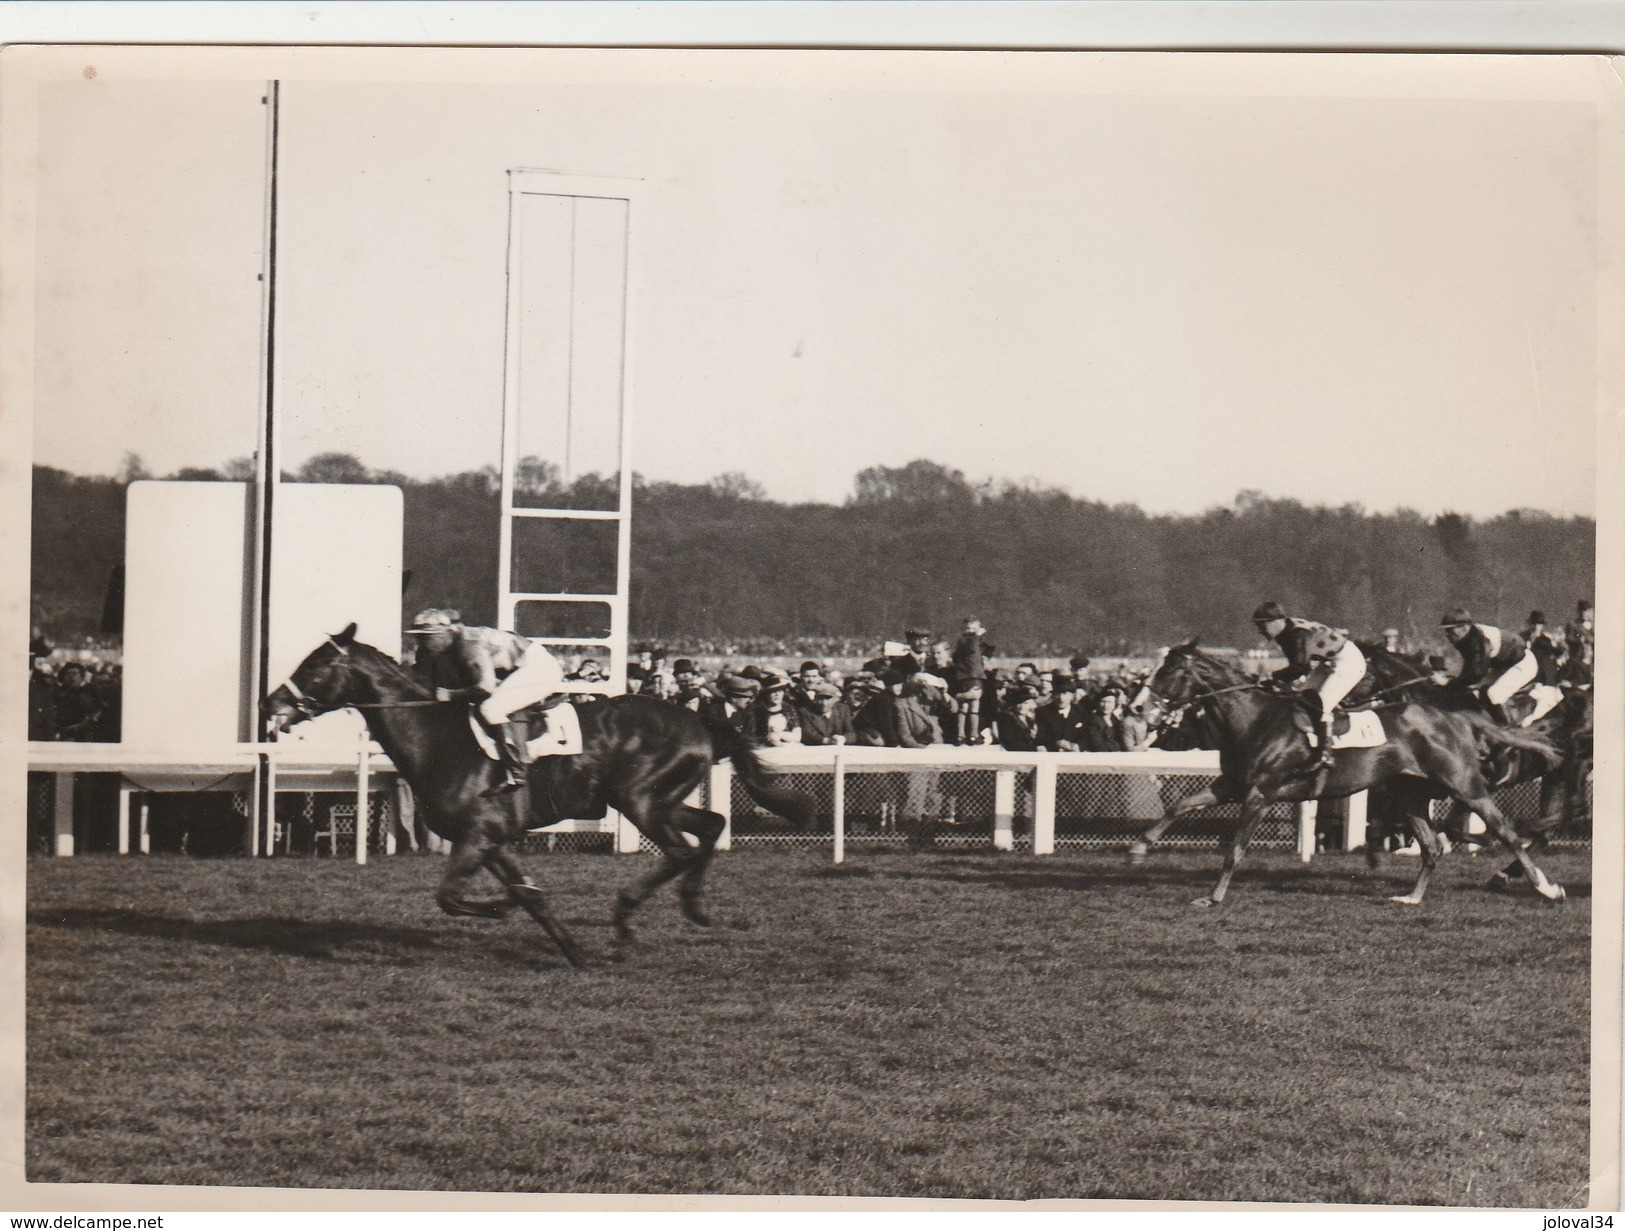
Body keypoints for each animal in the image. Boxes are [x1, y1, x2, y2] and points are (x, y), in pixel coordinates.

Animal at [1131, 639, 1560, 909]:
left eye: (1169, 671)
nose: (1136, 708)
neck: (1255, 719)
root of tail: (1456, 717)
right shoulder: (1233, 784)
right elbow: (1180, 806)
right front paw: (1139, 847)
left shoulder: (1260, 792)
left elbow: (1234, 849)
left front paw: (1214, 897)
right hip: (1410, 794)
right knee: (1432, 846)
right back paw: (1412, 897)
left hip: (1465, 785)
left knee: (1506, 832)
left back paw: (1545, 887)